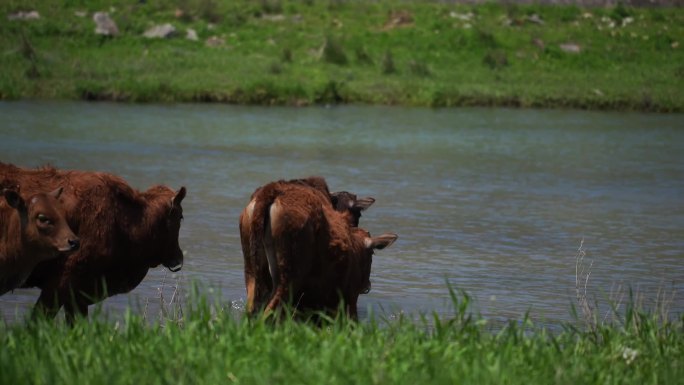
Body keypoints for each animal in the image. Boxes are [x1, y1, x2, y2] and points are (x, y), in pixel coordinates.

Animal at [240, 180, 396, 318]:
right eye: (358, 214)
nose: (367, 285)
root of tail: (269, 192)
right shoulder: (345, 297)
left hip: (251, 272)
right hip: (290, 275)